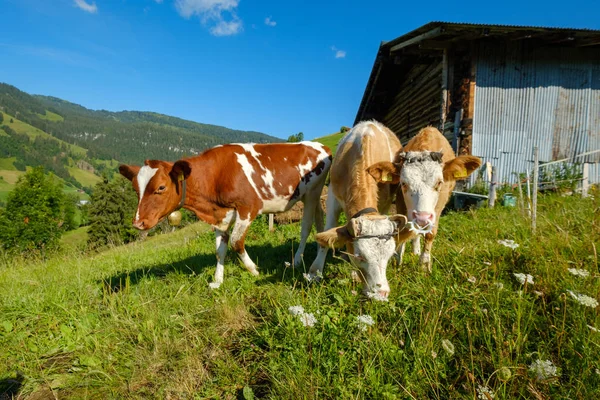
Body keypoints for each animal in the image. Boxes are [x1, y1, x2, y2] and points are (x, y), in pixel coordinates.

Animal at [119, 142, 330, 290]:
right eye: (135, 189)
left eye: (161, 187)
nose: (138, 223)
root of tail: (319, 145)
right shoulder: (220, 216)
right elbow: (220, 250)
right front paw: (217, 280)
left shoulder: (248, 207)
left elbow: (236, 242)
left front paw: (253, 270)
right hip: (313, 195)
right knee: (320, 221)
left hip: (311, 193)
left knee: (306, 227)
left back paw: (297, 261)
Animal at [304, 121, 408, 300]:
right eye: (359, 255)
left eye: (388, 256)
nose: (380, 293)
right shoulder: (332, 197)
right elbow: (327, 234)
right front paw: (314, 273)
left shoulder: (383, 203)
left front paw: (353, 273)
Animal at [366, 127, 482, 272]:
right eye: (403, 183)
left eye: (439, 183)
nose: (422, 217)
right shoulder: (401, 203)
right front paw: (397, 260)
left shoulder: (438, 207)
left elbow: (430, 234)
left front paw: (424, 265)